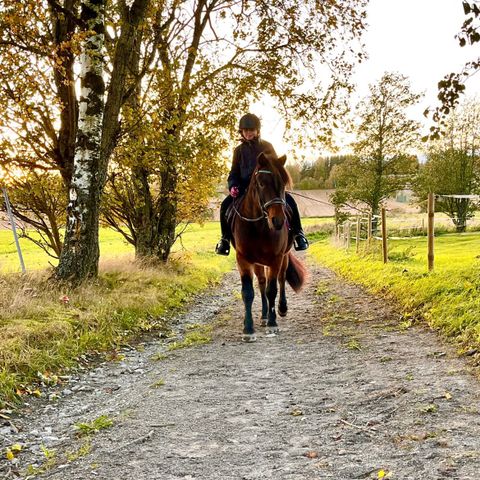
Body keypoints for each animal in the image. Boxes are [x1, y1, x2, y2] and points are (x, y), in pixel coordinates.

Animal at [229, 151, 308, 342]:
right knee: (261, 283)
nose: (278, 221)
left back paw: (281, 309)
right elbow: (248, 292)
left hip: (283, 258)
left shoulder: (275, 258)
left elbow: (272, 289)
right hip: (258, 262)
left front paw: (273, 324)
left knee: (280, 279)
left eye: (283, 183)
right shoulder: (243, 259)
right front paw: (248, 329)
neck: (257, 225)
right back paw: (264, 316)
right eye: (261, 183)